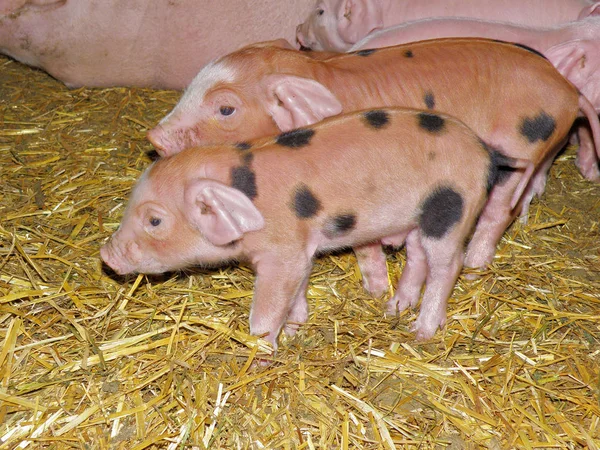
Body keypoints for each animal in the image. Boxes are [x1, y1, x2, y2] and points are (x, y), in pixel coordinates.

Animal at [101, 108, 532, 344]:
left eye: (154, 220)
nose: (106, 255)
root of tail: (484, 149)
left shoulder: (283, 251)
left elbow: (267, 310)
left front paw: (263, 351)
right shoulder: (300, 250)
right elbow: (296, 293)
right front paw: (294, 329)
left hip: (451, 209)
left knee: (447, 265)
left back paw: (420, 331)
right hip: (418, 216)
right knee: (417, 258)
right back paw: (393, 307)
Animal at [149, 38, 600, 272]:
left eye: (226, 108)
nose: (155, 136)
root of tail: (568, 90)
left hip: (519, 144)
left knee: (497, 210)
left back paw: (474, 264)